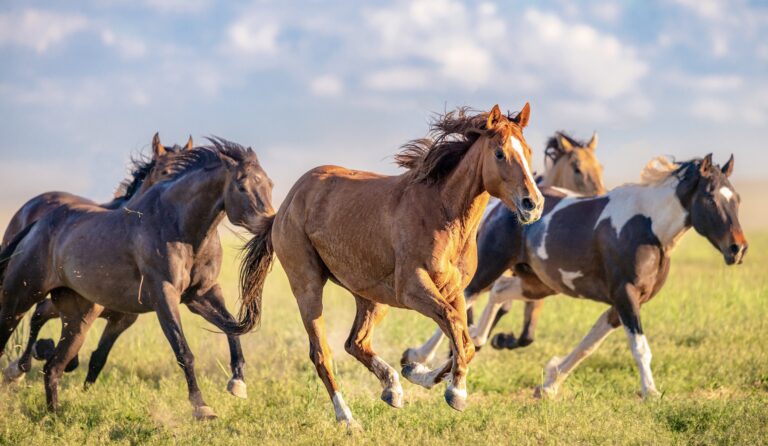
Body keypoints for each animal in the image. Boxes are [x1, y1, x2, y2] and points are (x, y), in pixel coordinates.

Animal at [235, 104, 544, 427]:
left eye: (529, 151)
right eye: (499, 153)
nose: (533, 204)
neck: (442, 214)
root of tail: (285, 205)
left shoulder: (454, 291)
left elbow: (464, 339)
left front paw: (418, 372)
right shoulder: (413, 289)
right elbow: (455, 327)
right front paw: (456, 392)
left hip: (371, 297)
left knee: (355, 343)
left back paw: (392, 388)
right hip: (308, 288)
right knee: (322, 354)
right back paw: (347, 418)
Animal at [403, 130, 606, 365]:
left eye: (600, 167)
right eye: (577, 169)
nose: (601, 195)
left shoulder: (535, 282)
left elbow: (526, 333)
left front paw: (500, 339)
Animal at [458, 154, 746, 399]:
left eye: (737, 199)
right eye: (710, 198)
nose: (738, 248)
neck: (648, 229)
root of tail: (500, 205)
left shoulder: (622, 304)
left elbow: (589, 345)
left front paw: (549, 384)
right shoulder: (625, 296)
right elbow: (639, 348)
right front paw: (651, 393)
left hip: (539, 283)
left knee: (499, 292)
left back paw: (479, 338)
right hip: (491, 266)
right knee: (465, 298)